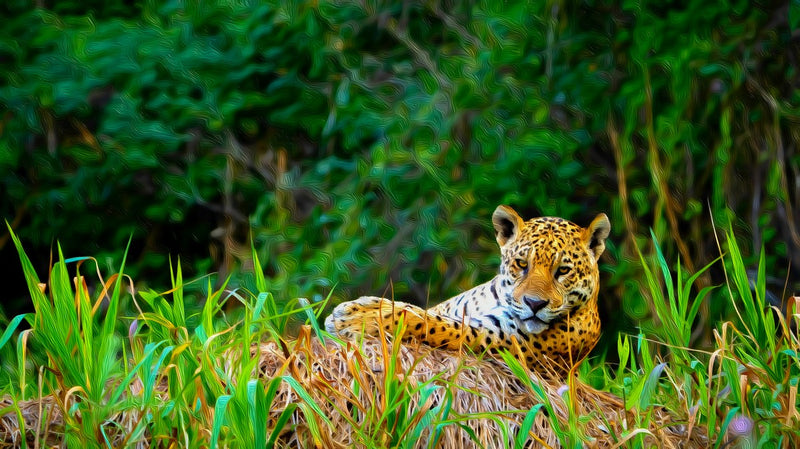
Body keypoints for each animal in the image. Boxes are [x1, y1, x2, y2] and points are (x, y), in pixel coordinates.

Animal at [324, 205, 611, 375]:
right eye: (522, 264)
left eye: (563, 270)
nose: (534, 304)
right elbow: (425, 311)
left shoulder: (495, 337)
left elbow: (430, 322)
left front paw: (355, 317)